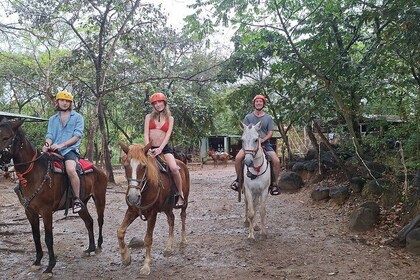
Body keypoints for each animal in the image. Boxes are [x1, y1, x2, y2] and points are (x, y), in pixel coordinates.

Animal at [0, 119, 107, 278]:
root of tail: (99, 169)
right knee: (89, 222)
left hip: (100, 198)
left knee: (100, 220)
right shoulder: (29, 211)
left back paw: (99, 245)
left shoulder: (46, 211)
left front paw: (50, 267)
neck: (34, 173)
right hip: (82, 204)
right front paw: (37, 261)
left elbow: (48, 238)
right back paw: (91, 248)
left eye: (6, 137)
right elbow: (36, 236)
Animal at [118, 142, 190, 276]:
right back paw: (168, 247)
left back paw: (183, 240)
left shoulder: (152, 213)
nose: (133, 197)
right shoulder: (132, 211)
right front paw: (125, 258)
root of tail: (182, 164)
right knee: (171, 219)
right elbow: (120, 231)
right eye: (125, 166)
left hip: (185, 201)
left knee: (183, 216)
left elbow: (148, 239)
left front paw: (146, 266)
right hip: (167, 207)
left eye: (143, 166)